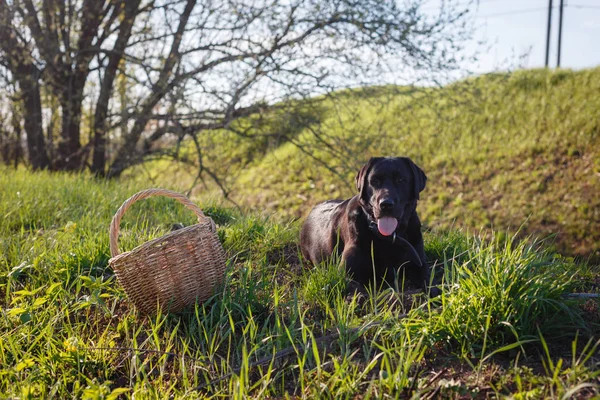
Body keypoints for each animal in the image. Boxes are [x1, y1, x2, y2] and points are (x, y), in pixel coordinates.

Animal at [300, 156, 436, 294]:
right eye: (375, 181)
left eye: (400, 180)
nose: (386, 204)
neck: (387, 238)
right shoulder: (345, 274)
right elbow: (359, 290)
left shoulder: (419, 263)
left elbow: (429, 281)